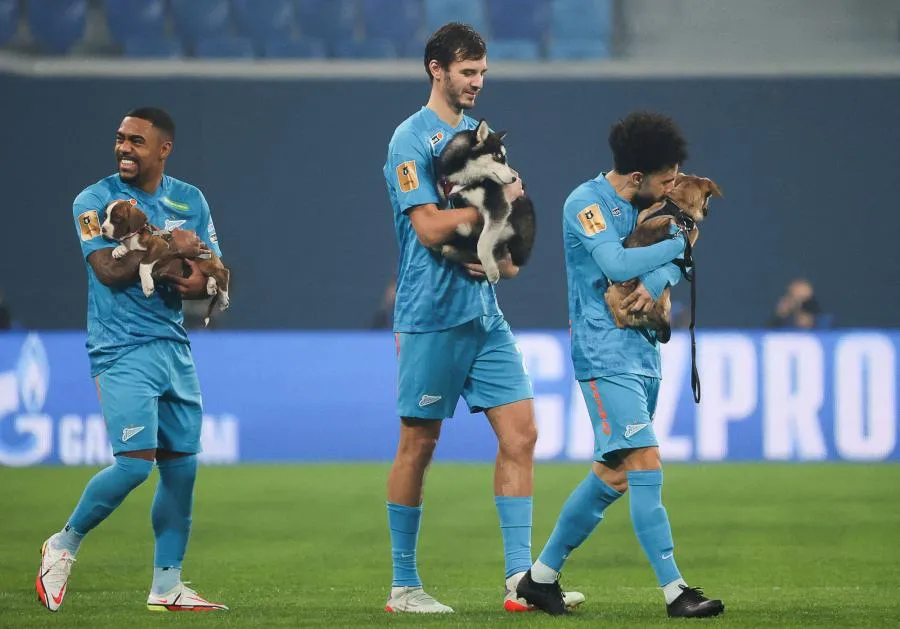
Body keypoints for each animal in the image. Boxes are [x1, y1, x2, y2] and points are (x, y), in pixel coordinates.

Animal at [101, 200, 232, 326]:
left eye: (117, 218)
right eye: (105, 216)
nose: (102, 228)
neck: (133, 236)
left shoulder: (161, 245)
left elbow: (143, 263)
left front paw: (147, 285)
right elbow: (128, 248)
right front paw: (119, 249)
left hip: (200, 260)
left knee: (223, 272)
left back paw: (223, 299)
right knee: (213, 274)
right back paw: (211, 286)